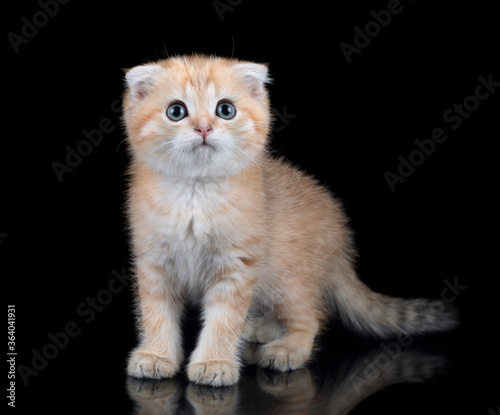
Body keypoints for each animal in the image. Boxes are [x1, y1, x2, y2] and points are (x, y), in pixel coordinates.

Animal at [122, 54, 458, 386]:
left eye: (225, 110)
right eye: (176, 111)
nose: (203, 128)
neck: (195, 194)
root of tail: (339, 234)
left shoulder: (237, 266)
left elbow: (224, 320)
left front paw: (214, 362)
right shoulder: (153, 263)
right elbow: (156, 314)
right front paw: (157, 355)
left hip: (288, 278)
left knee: (312, 317)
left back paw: (287, 349)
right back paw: (262, 329)